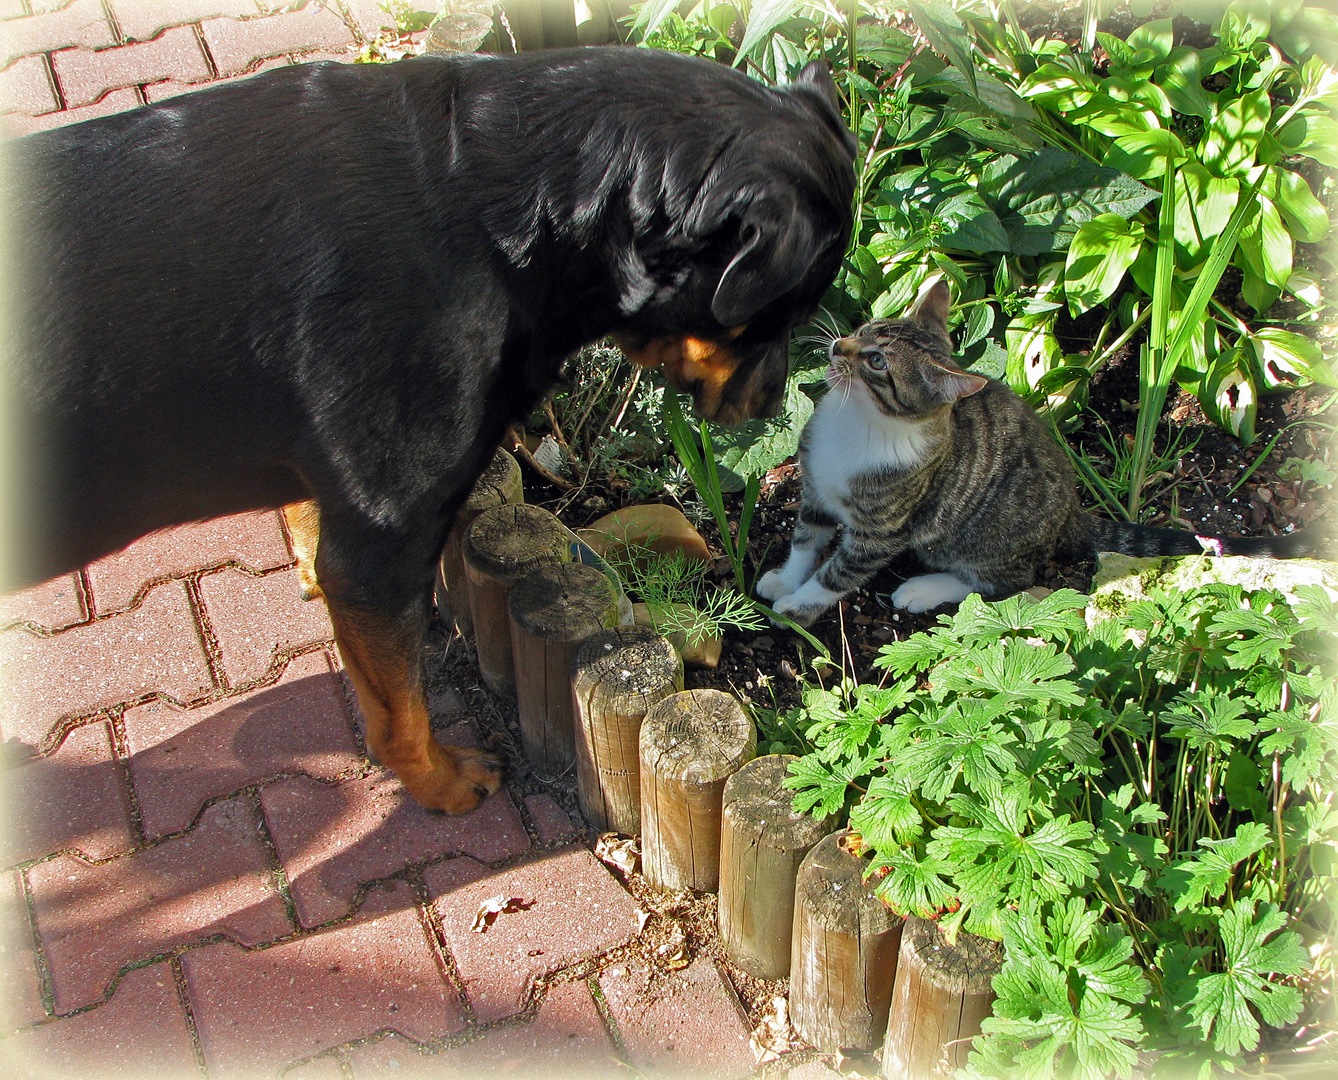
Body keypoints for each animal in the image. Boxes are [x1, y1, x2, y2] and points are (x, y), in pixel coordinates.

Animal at [5, 46, 856, 813]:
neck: (512, 221)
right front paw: (441, 782)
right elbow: (400, 708)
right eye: (779, 316)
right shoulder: (383, 542)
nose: (774, 403)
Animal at [759, 281, 1311, 626]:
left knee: (1005, 581)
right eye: (865, 329)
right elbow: (806, 540)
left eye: (876, 362)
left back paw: (924, 588)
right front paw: (786, 580)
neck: (855, 421)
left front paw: (800, 606)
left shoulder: (882, 531)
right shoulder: (815, 489)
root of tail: (1071, 513)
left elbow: (837, 573)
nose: (838, 348)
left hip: (985, 533)